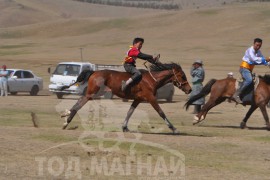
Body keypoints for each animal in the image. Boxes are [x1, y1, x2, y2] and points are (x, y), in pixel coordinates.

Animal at [61, 62, 192, 133]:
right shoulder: (150, 98)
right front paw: (174, 128)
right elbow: (161, 112)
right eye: (182, 76)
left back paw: (66, 117)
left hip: (95, 93)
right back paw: (67, 119)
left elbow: (130, 112)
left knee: (80, 101)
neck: (151, 80)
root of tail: (94, 72)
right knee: (80, 102)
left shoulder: (138, 99)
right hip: (93, 93)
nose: (189, 89)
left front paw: (125, 127)